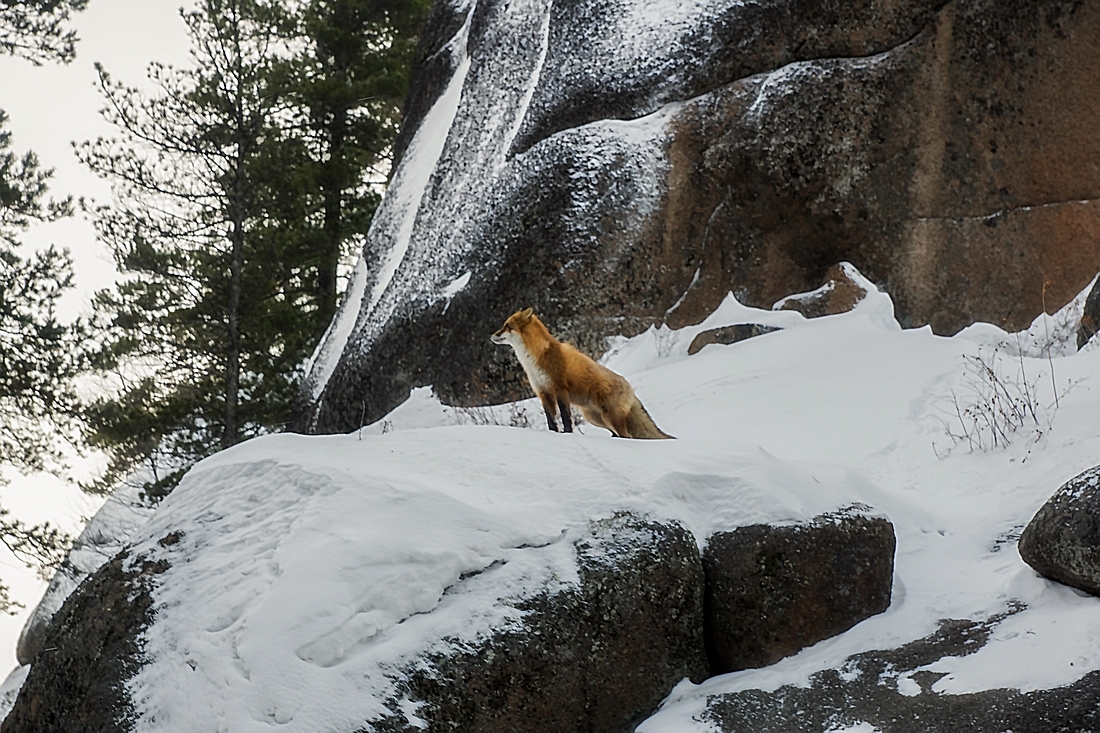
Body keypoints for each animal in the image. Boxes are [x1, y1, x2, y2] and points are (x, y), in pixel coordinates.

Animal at [490, 305, 668, 435]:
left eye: (507, 326)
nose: (491, 335)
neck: (535, 359)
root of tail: (630, 388)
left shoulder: (560, 389)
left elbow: (565, 417)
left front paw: (567, 434)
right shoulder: (543, 392)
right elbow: (551, 420)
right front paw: (553, 434)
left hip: (610, 418)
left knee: (627, 437)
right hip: (596, 419)